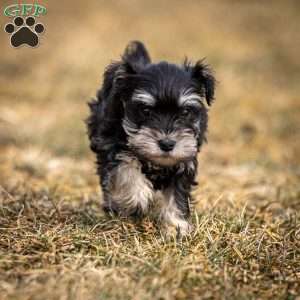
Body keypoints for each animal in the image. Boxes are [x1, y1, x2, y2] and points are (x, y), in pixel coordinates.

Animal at [86, 40, 216, 237]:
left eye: (185, 112)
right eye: (146, 111)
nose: (167, 144)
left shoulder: (185, 162)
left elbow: (177, 195)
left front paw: (176, 226)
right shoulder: (111, 148)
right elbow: (127, 169)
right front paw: (138, 197)